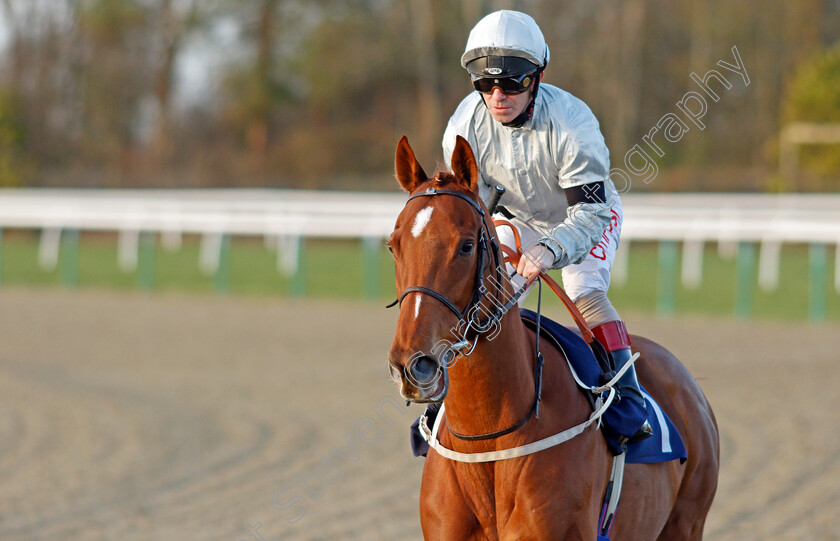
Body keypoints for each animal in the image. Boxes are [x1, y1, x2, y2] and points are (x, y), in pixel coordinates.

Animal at [388, 134, 720, 536]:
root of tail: (689, 385)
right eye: (393, 246)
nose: (413, 365)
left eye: (466, 246)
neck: (487, 442)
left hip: (687, 521)